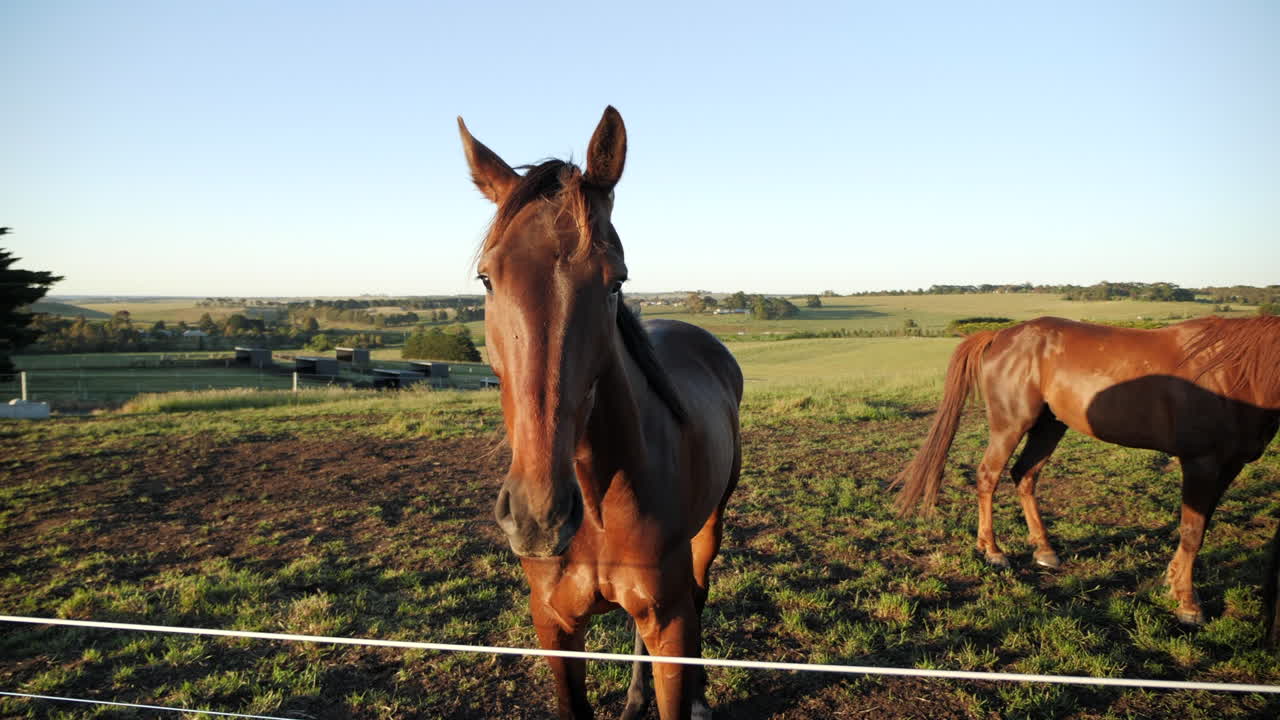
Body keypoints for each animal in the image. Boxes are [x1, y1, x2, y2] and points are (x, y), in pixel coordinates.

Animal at [457, 107, 743, 719]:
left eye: (617, 280)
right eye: (487, 278)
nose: (539, 517)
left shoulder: (671, 623)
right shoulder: (555, 626)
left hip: (710, 530)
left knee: (701, 593)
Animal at [894, 315, 1280, 625]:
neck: (1234, 371)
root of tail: (1002, 335)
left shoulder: (1229, 466)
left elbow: (1199, 528)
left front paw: (1173, 583)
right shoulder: (1201, 462)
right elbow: (1192, 531)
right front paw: (1187, 603)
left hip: (1050, 425)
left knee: (1025, 475)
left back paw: (1044, 550)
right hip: (1011, 424)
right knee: (988, 476)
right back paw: (992, 551)